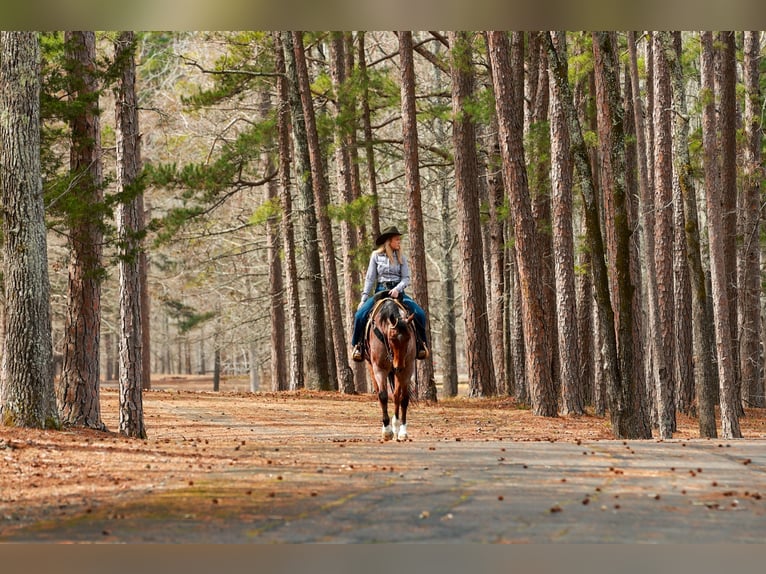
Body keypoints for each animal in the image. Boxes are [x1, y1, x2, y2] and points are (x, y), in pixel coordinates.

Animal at [365, 294, 416, 441]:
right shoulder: (379, 369)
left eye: (409, 337)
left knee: (396, 395)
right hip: (373, 368)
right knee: (380, 392)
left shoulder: (407, 369)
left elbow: (404, 398)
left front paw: (403, 432)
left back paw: (396, 425)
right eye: (392, 338)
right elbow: (382, 395)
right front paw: (387, 431)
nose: (398, 365)